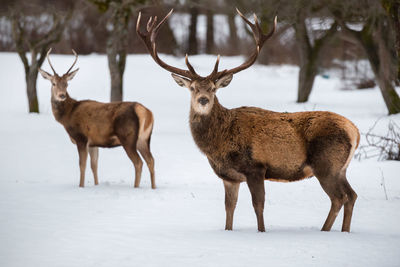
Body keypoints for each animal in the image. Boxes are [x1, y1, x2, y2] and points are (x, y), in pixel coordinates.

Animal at [38, 48, 155, 188]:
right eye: (53, 83)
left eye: (67, 84)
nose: (62, 95)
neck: (68, 115)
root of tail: (145, 112)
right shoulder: (93, 142)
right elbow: (94, 165)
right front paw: (96, 185)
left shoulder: (81, 137)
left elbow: (82, 165)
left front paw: (81, 186)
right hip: (144, 139)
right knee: (151, 160)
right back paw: (154, 187)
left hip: (128, 137)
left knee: (138, 162)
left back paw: (136, 187)